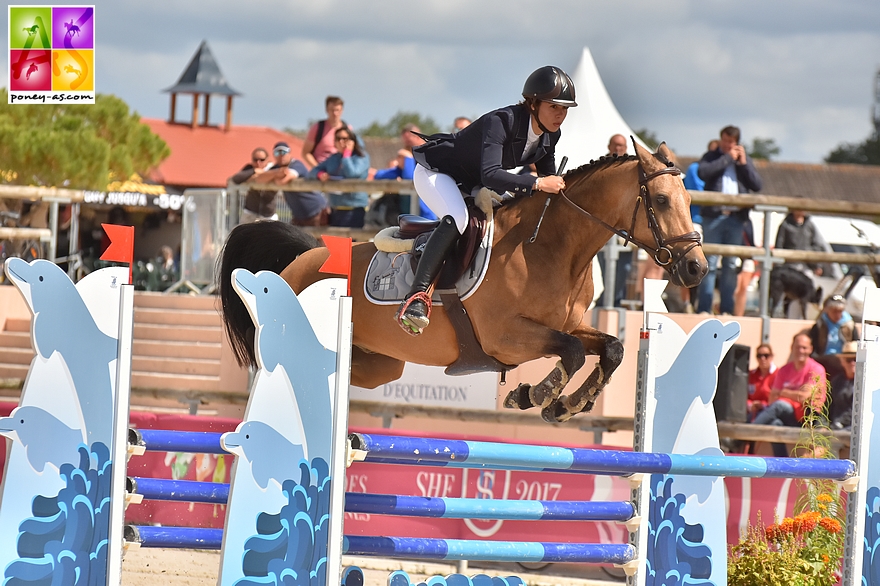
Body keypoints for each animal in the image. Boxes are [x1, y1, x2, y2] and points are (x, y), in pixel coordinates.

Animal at [218, 141, 708, 420]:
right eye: (661, 200)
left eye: (689, 200)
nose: (697, 268)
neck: (551, 246)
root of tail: (306, 255)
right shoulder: (505, 337)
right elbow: (569, 352)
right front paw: (533, 395)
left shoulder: (567, 326)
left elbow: (612, 348)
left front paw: (567, 406)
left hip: (380, 364)